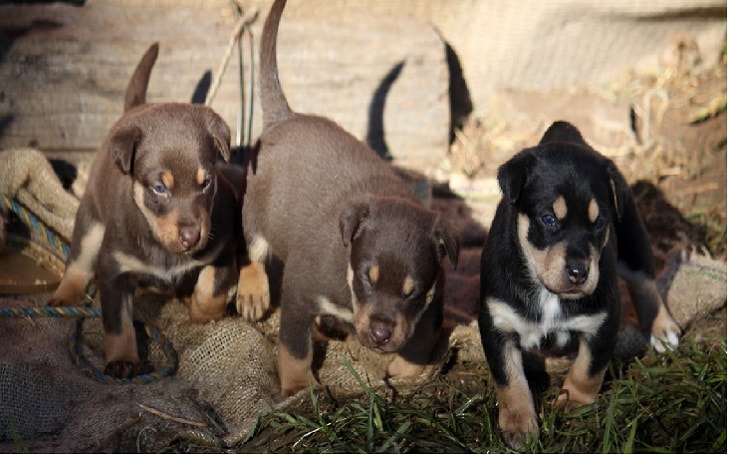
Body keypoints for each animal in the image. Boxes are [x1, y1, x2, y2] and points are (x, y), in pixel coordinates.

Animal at [50, 42, 245, 380]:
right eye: (159, 188)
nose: (192, 236)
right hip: (90, 219)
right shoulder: (113, 268)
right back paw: (65, 294)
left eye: (206, 182)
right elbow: (118, 323)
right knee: (78, 260)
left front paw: (203, 313)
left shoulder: (223, 243)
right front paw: (122, 360)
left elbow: (212, 285)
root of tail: (133, 111)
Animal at [242, 0, 458, 400]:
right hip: (254, 212)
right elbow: (294, 348)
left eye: (412, 292)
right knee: (251, 251)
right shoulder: (298, 294)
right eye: (366, 279)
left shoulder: (436, 295)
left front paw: (406, 370)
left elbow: (424, 335)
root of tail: (285, 117)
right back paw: (253, 293)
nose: (380, 334)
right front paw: (299, 388)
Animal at [478, 120, 676, 448]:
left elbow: (588, 368)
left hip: (632, 237)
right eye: (548, 219)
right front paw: (519, 426)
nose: (578, 271)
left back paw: (663, 329)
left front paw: (574, 404)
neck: (548, 293)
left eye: (599, 223)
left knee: (644, 282)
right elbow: (510, 380)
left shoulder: (603, 321)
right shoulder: (496, 324)